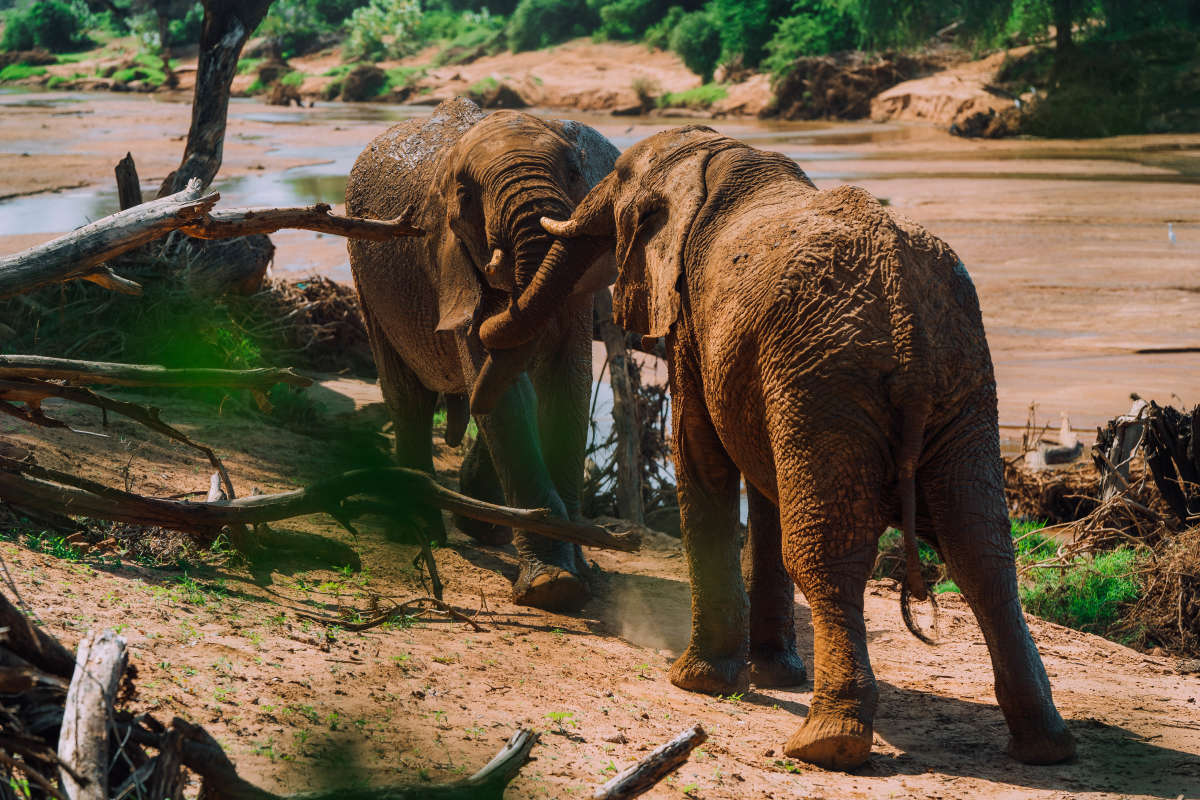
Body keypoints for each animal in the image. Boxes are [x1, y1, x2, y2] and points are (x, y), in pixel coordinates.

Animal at [340, 98, 614, 614]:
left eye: (573, 172)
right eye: (466, 195)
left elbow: (565, 387)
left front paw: (576, 574)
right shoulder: (445, 254)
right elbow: (510, 399)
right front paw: (554, 587)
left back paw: (484, 525)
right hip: (365, 275)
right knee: (407, 399)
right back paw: (418, 529)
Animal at [475, 126, 1080, 767]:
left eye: (615, 181)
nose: (492, 274)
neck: (714, 155)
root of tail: (906, 311)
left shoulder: (697, 323)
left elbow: (703, 458)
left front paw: (699, 683)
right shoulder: (756, 367)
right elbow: (761, 486)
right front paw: (773, 675)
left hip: (833, 380)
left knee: (829, 555)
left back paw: (827, 745)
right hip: (957, 384)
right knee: (982, 550)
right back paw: (1046, 746)